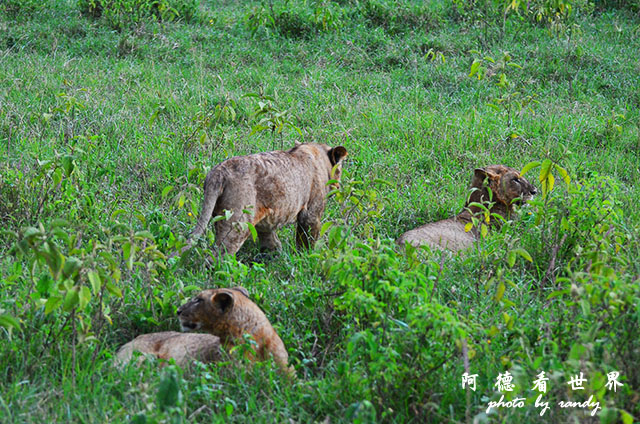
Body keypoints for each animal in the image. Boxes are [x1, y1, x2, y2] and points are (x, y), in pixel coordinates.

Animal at [185, 142, 348, 256]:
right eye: (340, 169)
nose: (339, 185)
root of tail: (218, 172)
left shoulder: (265, 218)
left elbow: (270, 239)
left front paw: (276, 255)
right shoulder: (311, 213)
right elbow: (307, 240)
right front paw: (305, 258)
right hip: (238, 222)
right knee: (218, 254)